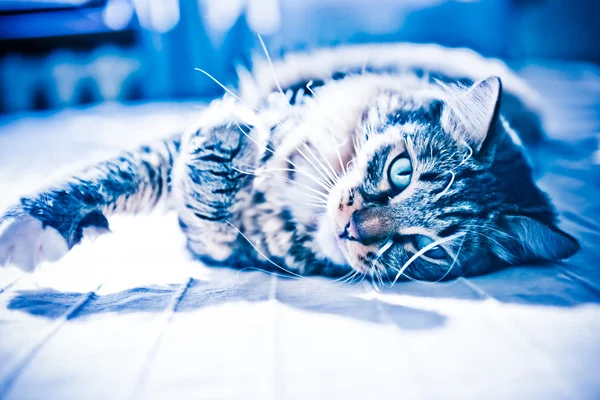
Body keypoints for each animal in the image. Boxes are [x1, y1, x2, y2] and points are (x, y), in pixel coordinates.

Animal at [0, 42, 580, 282]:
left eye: (427, 250)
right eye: (401, 172)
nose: (352, 229)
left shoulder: (231, 252)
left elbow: (205, 216)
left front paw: (220, 165)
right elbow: (111, 173)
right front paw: (30, 225)